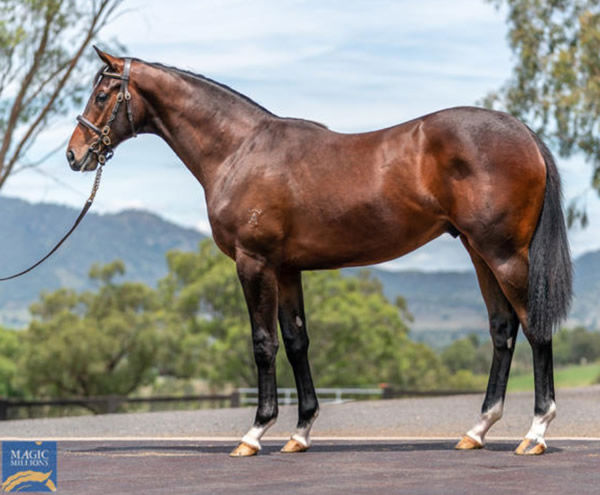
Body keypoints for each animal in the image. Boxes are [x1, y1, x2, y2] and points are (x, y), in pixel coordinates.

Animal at [65, 48, 572, 460]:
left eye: (103, 94)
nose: (75, 154)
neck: (240, 150)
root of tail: (524, 134)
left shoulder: (254, 263)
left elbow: (264, 344)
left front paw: (255, 434)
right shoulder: (287, 269)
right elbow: (296, 342)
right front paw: (300, 432)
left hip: (503, 254)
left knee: (534, 327)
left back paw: (535, 433)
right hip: (478, 251)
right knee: (503, 329)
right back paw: (477, 430)